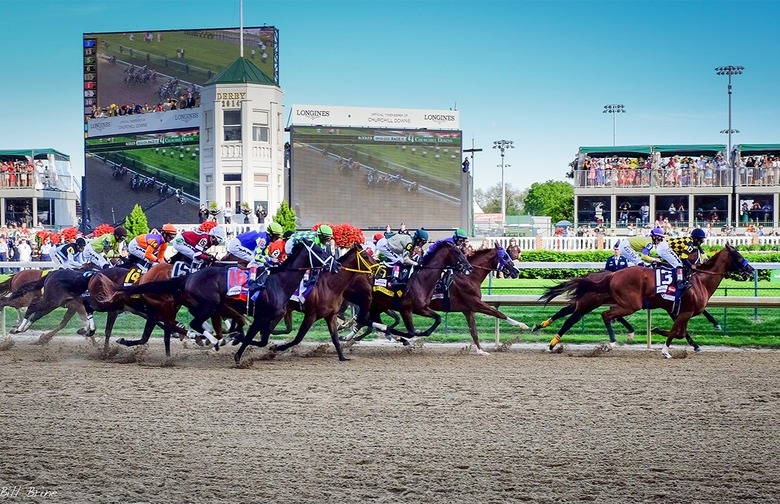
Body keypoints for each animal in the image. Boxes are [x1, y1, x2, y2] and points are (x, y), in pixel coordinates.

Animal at [540, 245, 752, 358]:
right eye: (738, 256)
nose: (750, 270)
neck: (698, 279)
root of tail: (611, 275)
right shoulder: (683, 311)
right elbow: (676, 331)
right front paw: (665, 349)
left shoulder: (677, 310)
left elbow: (681, 331)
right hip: (621, 303)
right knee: (591, 315)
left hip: (605, 301)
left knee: (571, 311)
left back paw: (543, 328)